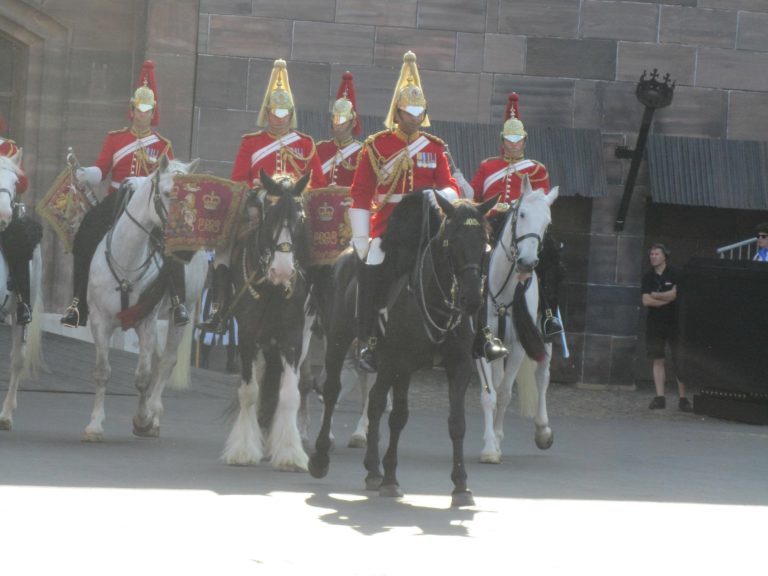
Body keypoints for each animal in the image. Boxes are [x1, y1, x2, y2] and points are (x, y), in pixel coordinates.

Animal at [82, 158, 207, 440]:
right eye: (168, 193)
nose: (186, 249)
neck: (127, 261)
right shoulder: (100, 321)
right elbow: (102, 372)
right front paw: (94, 425)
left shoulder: (146, 322)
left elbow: (143, 377)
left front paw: (143, 420)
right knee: (160, 360)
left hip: (181, 311)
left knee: (166, 362)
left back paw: (154, 415)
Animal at [222, 169, 316, 470]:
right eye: (270, 215)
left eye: (300, 217)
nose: (283, 271)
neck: (273, 290)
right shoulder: (247, 337)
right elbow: (249, 392)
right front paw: (243, 449)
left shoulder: (293, 340)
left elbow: (290, 394)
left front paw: (290, 452)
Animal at [310, 192, 498, 508]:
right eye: (451, 240)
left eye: (484, 240)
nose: (472, 298)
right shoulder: (402, 364)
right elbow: (398, 417)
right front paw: (391, 479)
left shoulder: (459, 365)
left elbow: (457, 423)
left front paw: (461, 485)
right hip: (340, 341)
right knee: (333, 390)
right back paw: (321, 458)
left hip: (383, 364)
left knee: (374, 402)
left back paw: (372, 470)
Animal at [474, 176, 560, 464]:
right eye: (521, 214)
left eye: (547, 222)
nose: (527, 262)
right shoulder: (481, 345)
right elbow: (489, 394)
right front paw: (490, 446)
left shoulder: (522, 346)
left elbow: (503, 394)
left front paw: (496, 440)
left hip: (545, 337)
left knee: (542, 375)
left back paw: (543, 430)